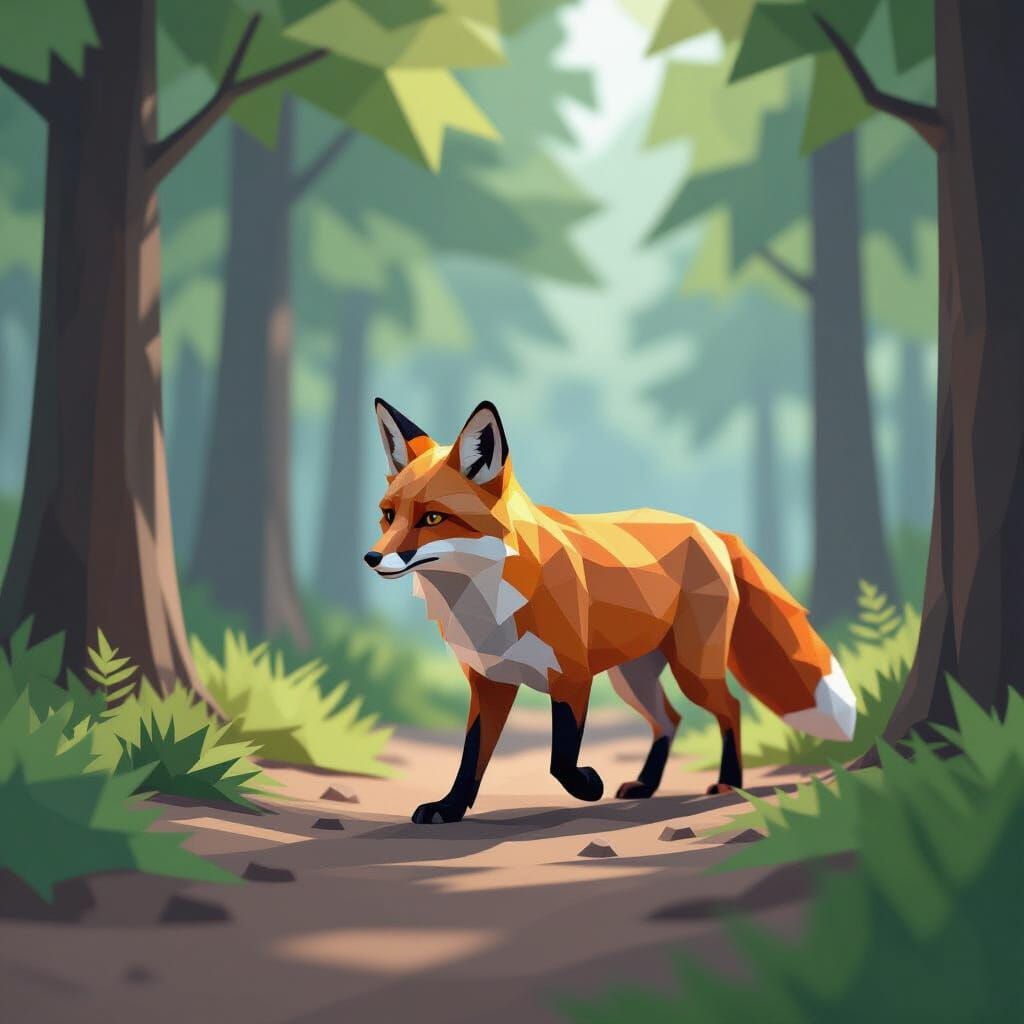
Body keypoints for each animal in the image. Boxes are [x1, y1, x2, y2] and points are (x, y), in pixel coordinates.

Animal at [366, 398, 857, 824]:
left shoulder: (571, 676)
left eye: (432, 519)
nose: (371, 559)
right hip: (632, 678)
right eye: (388, 515)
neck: (489, 603)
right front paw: (449, 808)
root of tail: (709, 529)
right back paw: (645, 784)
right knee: (670, 719)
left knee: (730, 707)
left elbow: (561, 760)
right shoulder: (490, 683)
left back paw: (727, 783)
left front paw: (588, 787)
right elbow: (470, 758)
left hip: (691, 670)